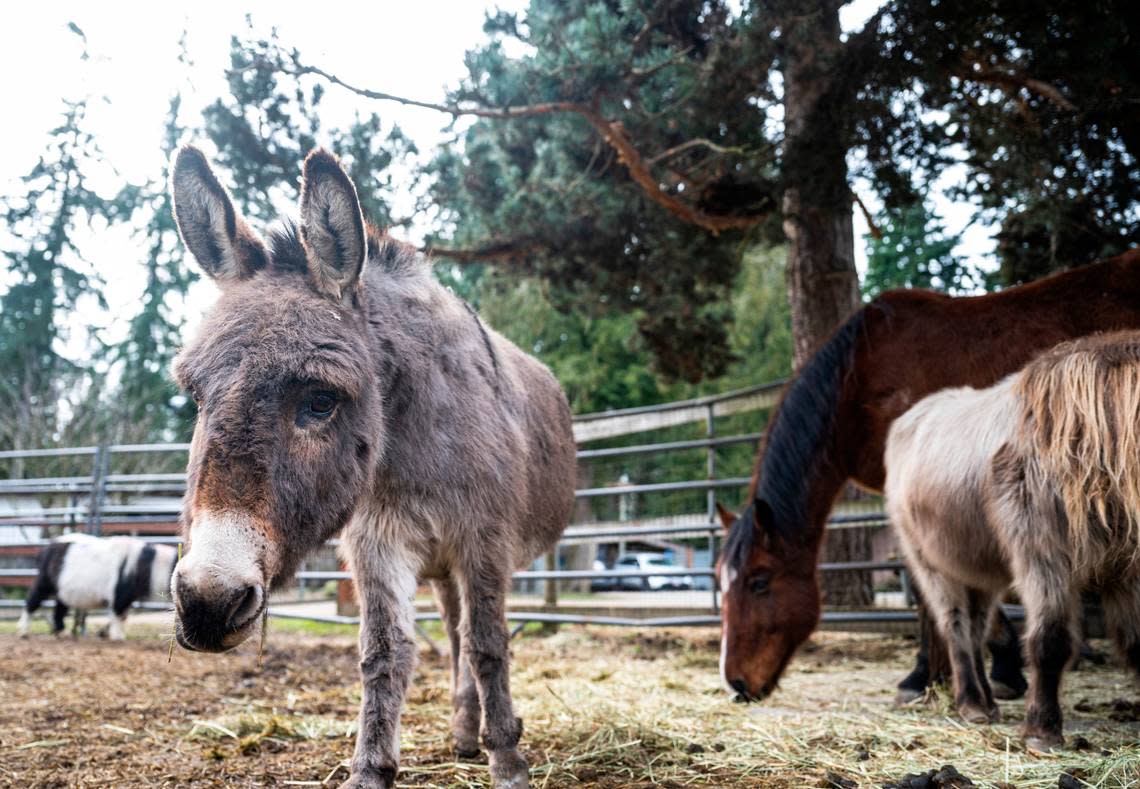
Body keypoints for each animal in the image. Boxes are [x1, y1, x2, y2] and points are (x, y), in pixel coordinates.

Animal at [17, 535, 175, 643]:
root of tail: (45, 549)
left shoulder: (127, 598)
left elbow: (123, 616)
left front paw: (114, 635)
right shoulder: (118, 595)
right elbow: (117, 615)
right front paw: (118, 637)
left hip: (61, 591)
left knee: (59, 610)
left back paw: (63, 634)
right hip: (44, 582)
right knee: (32, 601)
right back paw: (23, 633)